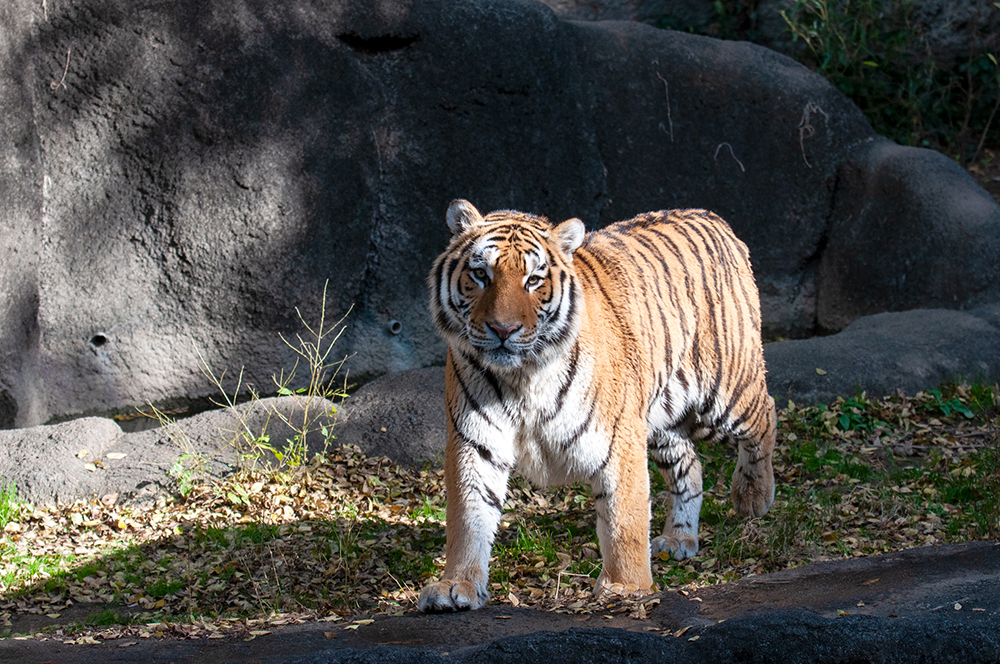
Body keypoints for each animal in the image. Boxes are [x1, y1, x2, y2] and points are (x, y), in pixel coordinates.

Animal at [418, 198, 776, 612]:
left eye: (534, 280)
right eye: (480, 274)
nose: (503, 330)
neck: (523, 376)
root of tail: (712, 216)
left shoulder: (619, 439)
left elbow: (624, 519)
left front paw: (626, 587)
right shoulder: (476, 442)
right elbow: (467, 516)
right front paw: (456, 585)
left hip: (722, 390)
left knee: (765, 413)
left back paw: (752, 497)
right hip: (659, 414)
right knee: (690, 465)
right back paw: (679, 539)